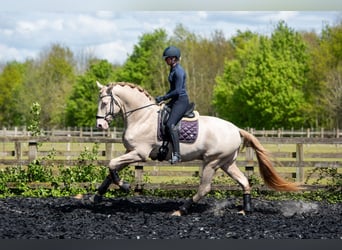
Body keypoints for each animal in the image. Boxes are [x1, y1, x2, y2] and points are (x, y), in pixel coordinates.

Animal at [93, 81, 302, 215]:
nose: (100, 125)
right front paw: (98, 195)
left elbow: (112, 164)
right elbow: (112, 168)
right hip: (227, 163)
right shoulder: (130, 152)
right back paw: (246, 209)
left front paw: (124, 186)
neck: (142, 117)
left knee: (205, 188)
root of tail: (236, 129)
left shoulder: (139, 154)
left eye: (105, 103)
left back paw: (182, 210)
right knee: (243, 181)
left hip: (212, 162)